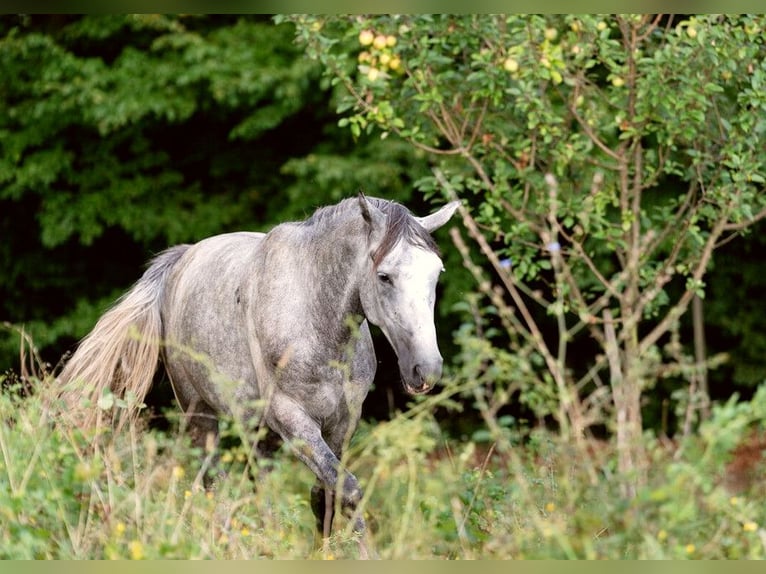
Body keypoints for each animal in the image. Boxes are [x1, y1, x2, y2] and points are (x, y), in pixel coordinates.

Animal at [60, 196, 460, 544]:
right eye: (384, 276)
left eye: (437, 273)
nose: (426, 369)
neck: (314, 316)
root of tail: (183, 258)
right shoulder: (292, 418)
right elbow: (347, 487)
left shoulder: (343, 422)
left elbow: (326, 493)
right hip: (200, 413)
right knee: (213, 482)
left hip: (257, 430)